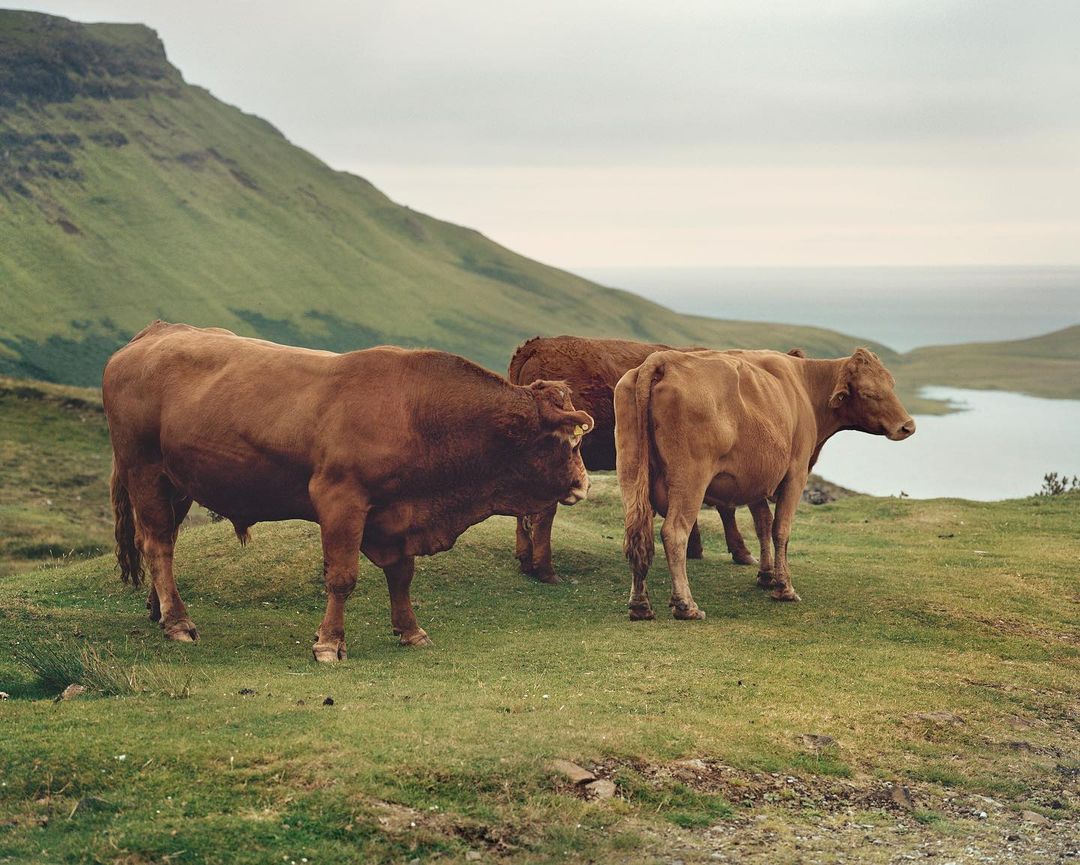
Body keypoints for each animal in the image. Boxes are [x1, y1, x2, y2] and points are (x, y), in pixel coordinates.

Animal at [103, 322, 594, 661]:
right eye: (568, 442)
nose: (584, 483)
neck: (416, 414)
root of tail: (154, 332)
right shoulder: (340, 501)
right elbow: (342, 577)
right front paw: (329, 643)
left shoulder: (396, 516)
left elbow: (402, 574)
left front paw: (410, 630)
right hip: (144, 470)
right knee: (158, 542)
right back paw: (177, 621)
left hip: (178, 483)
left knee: (162, 542)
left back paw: (157, 608)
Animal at [507, 337, 805, 583]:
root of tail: (536, 345)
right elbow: (725, 507)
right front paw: (739, 552)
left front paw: (696, 546)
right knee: (544, 510)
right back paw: (545, 570)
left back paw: (526, 560)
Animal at [615, 347, 914, 620]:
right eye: (867, 393)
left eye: (890, 384)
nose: (907, 426)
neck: (804, 386)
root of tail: (665, 359)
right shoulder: (795, 474)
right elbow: (780, 528)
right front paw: (784, 587)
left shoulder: (755, 478)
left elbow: (762, 523)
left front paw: (766, 575)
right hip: (690, 480)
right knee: (674, 532)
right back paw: (685, 605)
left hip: (631, 473)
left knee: (636, 531)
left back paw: (640, 604)